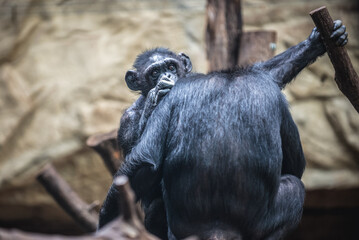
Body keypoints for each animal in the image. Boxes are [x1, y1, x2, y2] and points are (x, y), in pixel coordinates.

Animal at [98, 21, 348, 240]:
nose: (167, 77)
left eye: (170, 66)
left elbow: (266, 71)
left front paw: (317, 40)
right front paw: (154, 96)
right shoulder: (126, 120)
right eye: (153, 73)